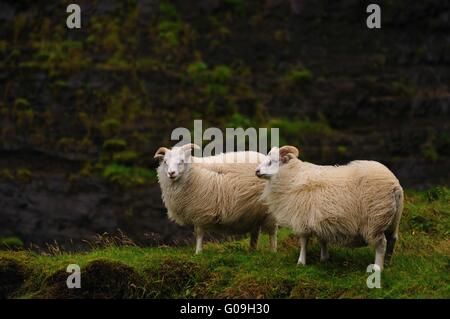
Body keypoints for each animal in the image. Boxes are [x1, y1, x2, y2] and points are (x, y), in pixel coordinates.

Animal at [256, 146, 404, 270]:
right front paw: (324, 258)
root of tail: (394, 185)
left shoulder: (301, 218)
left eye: (271, 162)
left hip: (375, 219)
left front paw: (301, 262)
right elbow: (322, 239)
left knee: (381, 244)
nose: (257, 171)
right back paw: (387, 263)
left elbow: (303, 241)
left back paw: (378, 267)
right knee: (392, 240)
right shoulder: (319, 218)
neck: (291, 176)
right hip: (392, 220)